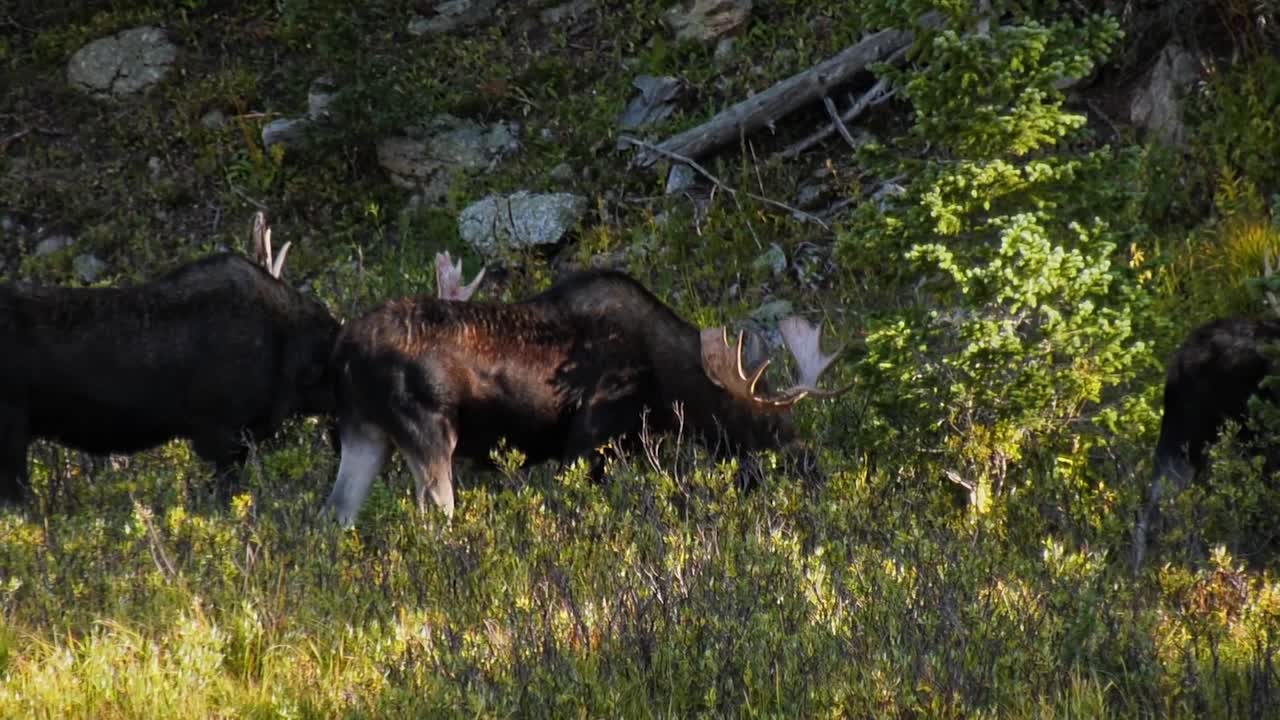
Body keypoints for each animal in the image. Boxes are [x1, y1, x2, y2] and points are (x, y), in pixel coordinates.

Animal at [323, 268, 848, 526]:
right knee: (433, 515)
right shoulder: (588, 445)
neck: (665, 390)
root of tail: (343, 348)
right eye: (768, 423)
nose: (814, 468)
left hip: (364, 432)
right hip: (429, 435)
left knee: (335, 514)